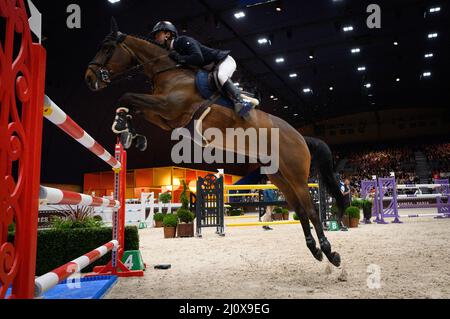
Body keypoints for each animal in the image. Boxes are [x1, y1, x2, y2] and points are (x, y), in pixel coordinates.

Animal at [83, 18, 344, 268]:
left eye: (106, 48)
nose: (89, 78)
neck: (168, 70)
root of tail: (301, 136)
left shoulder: (169, 106)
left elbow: (126, 96)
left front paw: (122, 126)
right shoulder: (165, 117)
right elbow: (132, 103)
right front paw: (131, 133)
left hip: (297, 175)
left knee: (311, 210)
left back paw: (330, 253)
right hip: (279, 176)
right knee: (300, 210)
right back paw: (315, 250)